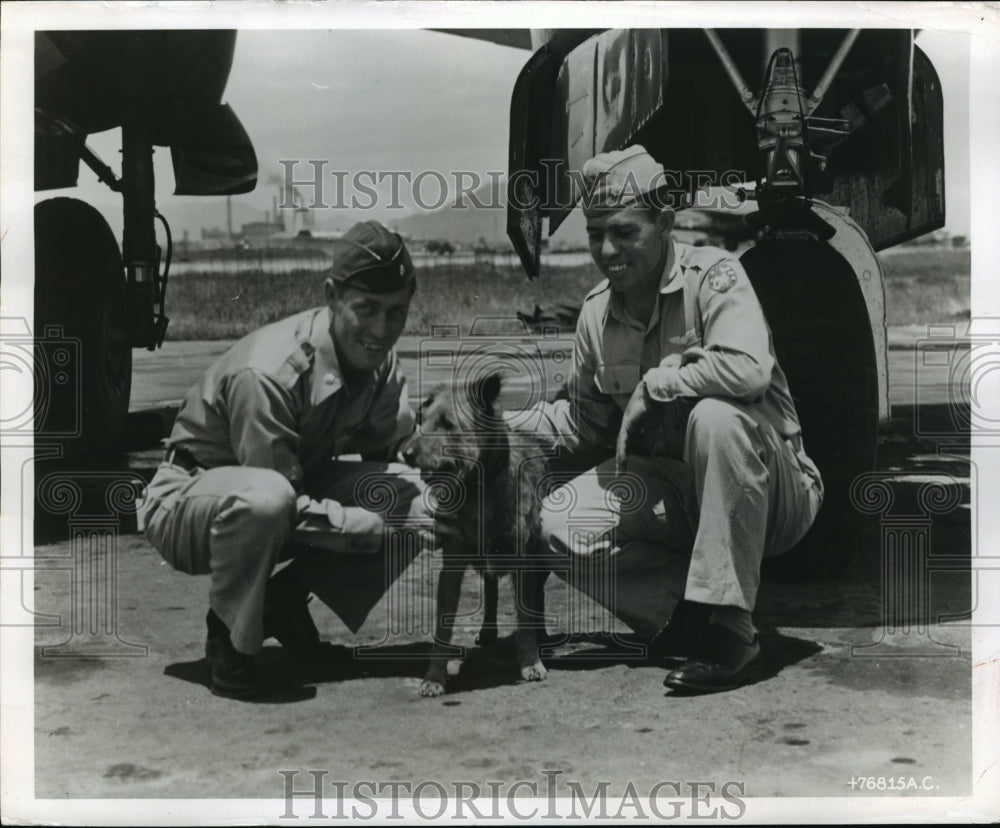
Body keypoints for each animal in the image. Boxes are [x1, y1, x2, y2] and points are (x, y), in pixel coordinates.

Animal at [400, 372, 556, 696]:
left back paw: (542, 634)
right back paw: (488, 630)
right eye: (421, 419)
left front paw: (530, 662)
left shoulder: (523, 560)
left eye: (448, 424)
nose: (405, 453)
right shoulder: (452, 564)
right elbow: (442, 626)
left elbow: (525, 614)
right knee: (492, 590)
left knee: (537, 594)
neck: (478, 489)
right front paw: (434, 676)